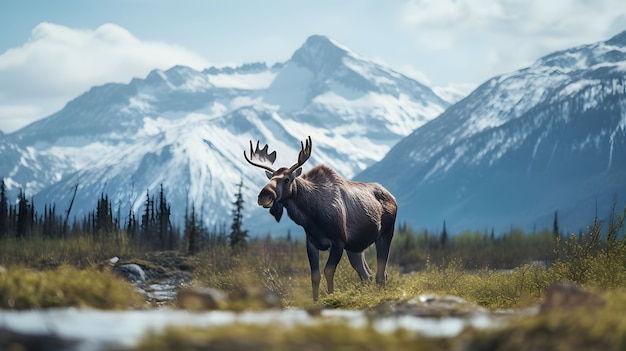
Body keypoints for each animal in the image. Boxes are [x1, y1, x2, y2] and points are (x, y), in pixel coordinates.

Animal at [243, 136, 394, 302]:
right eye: (271, 178)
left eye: (287, 179)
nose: (264, 195)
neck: (311, 216)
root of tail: (393, 197)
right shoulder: (312, 243)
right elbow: (315, 275)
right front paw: (316, 301)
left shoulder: (338, 242)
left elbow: (328, 271)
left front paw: (331, 297)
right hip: (355, 248)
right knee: (367, 275)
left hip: (385, 235)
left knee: (381, 274)